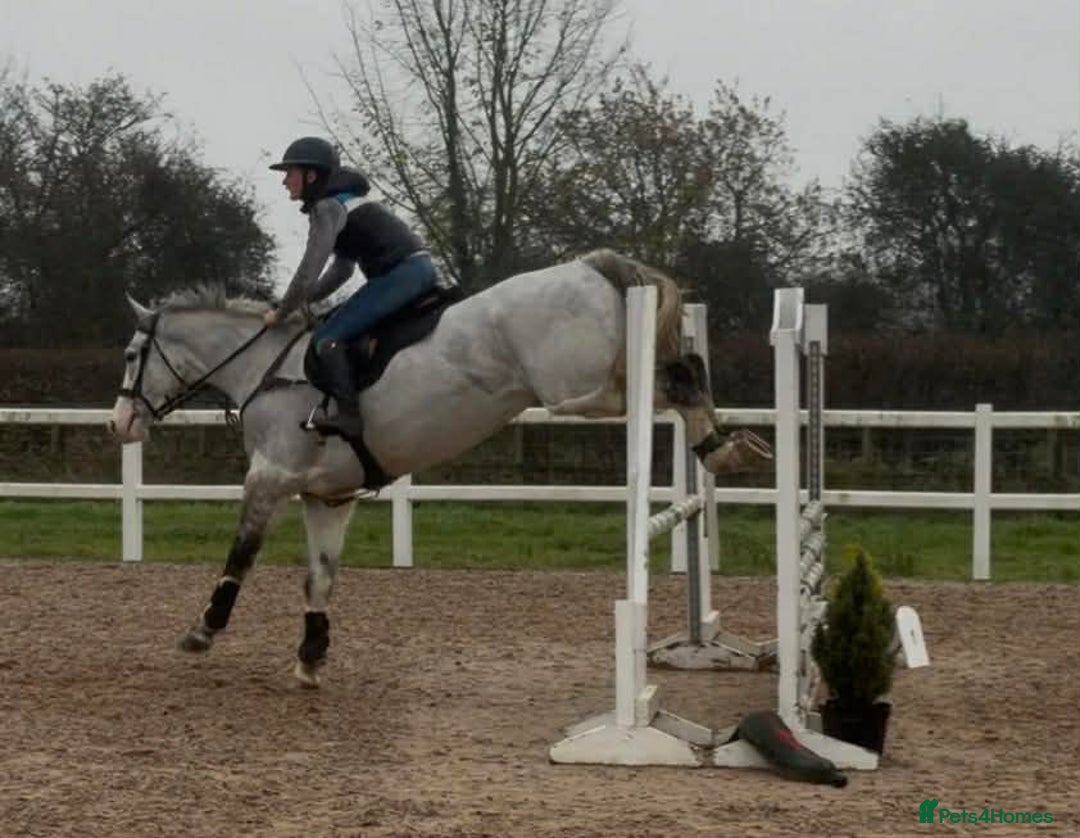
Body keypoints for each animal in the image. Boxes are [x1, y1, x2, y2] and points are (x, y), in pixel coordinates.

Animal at [108, 249, 771, 686]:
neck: (264, 370)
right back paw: (724, 448)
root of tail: (595, 265)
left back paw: (712, 441)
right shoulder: (328, 498)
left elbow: (240, 556)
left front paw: (204, 629)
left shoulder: (270, 477)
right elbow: (319, 579)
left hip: (575, 383)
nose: (119, 424)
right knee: (687, 374)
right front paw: (310, 658)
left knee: (660, 381)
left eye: (133, 354)